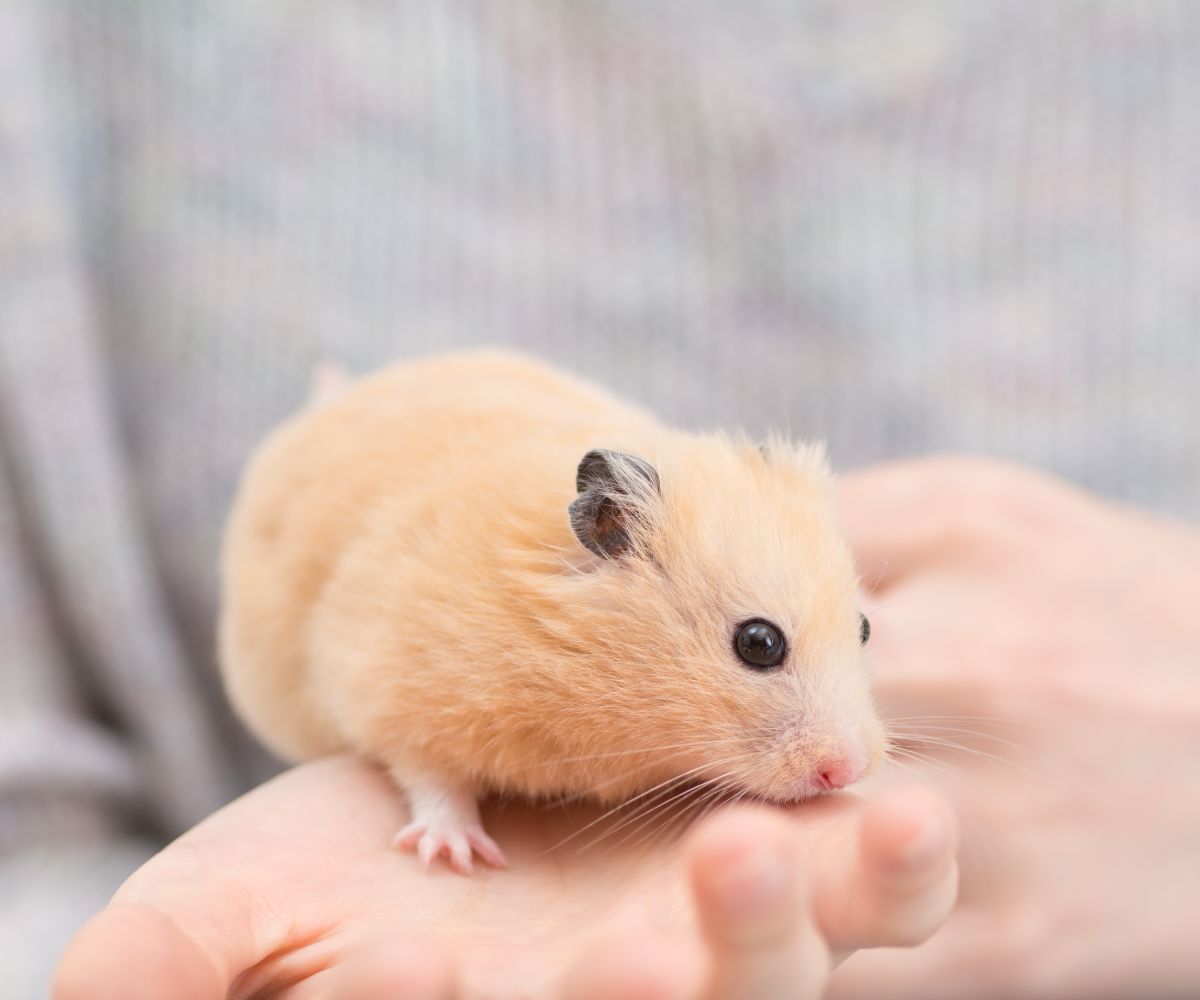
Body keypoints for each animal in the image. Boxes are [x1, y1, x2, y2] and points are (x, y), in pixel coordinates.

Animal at [220, 349, 884, 874]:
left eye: (864, 629)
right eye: (758, 643)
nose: (847, 771)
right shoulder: (390, 685)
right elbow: (428, 774)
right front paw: (456, 854)